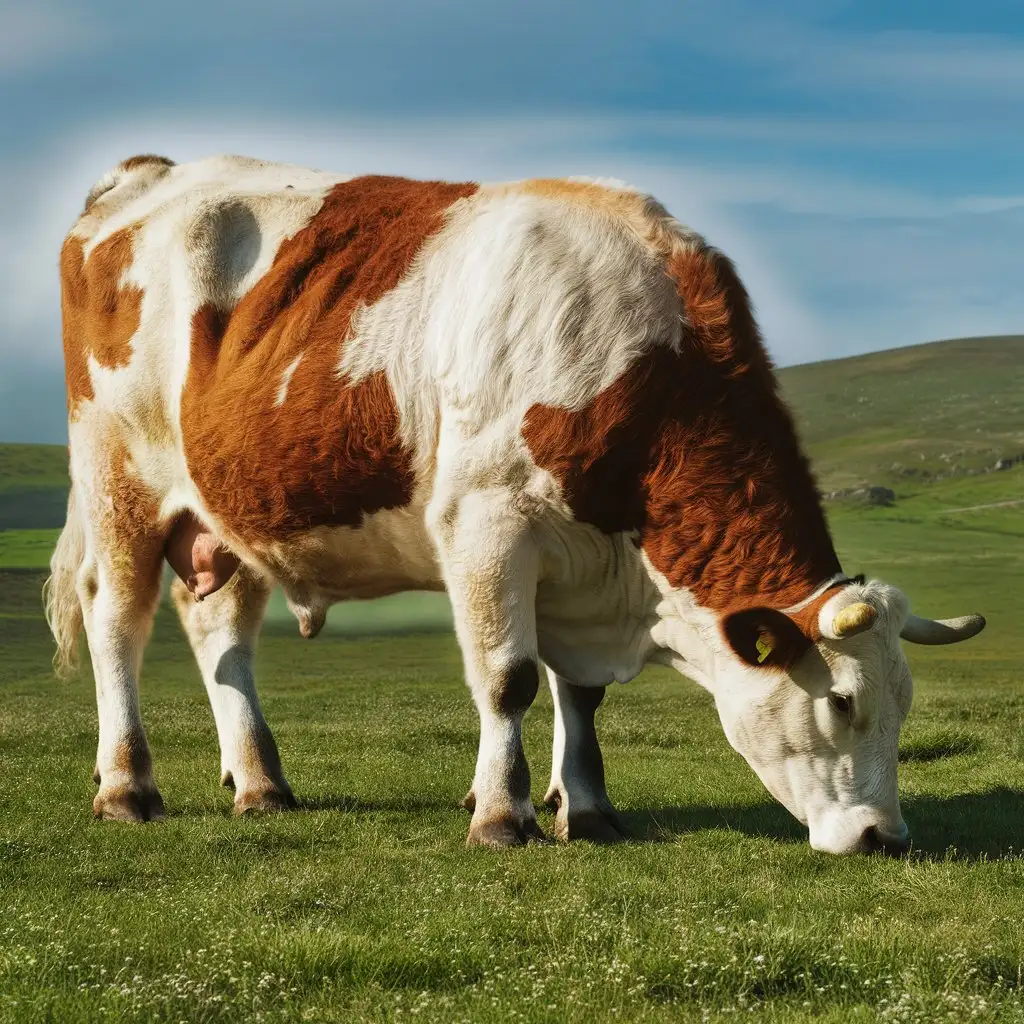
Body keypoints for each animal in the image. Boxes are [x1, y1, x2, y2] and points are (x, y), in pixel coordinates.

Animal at [46, 153, 983, 856]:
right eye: (842, 702)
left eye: (905, 703)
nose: (884, 837)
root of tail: (151, 173)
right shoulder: (488, 528)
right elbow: (510, 677)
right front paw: (503, 813)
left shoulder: (582, 565)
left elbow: (581, 695)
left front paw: (589, 808)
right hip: (118, 476)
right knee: (118, 622)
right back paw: (128, 785)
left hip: (232, 512)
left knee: (221, 634)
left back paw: (262, 783)